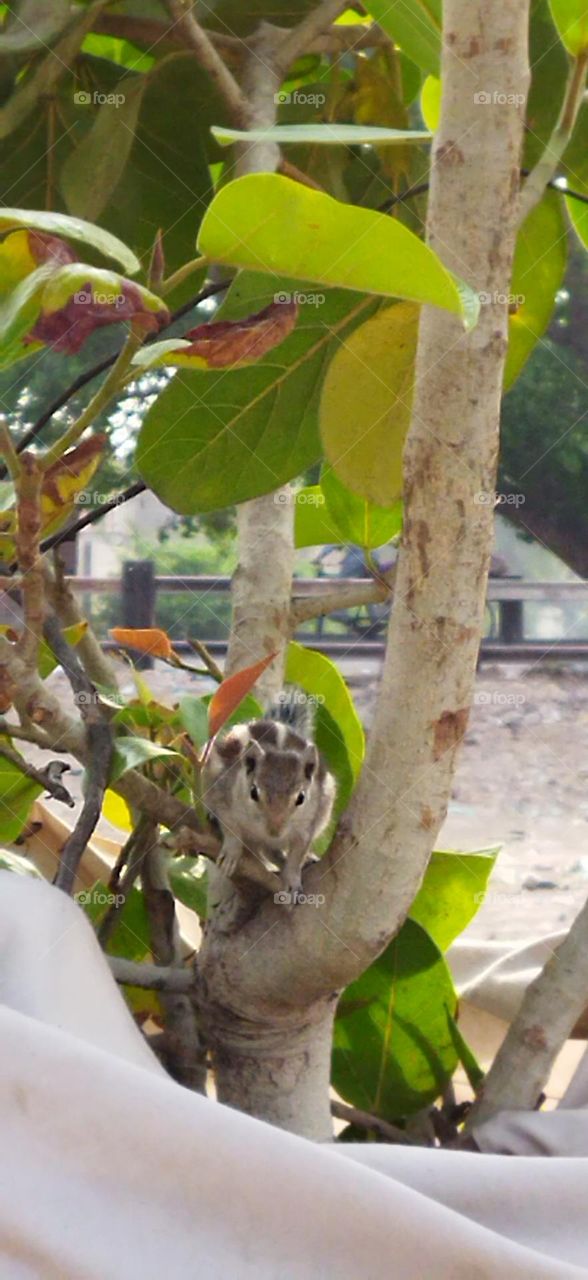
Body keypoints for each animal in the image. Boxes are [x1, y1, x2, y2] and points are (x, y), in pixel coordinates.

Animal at [202, 688, 336, 903]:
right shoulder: (224, 796)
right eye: (253, 792)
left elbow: (297, 855)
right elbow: (231, 829)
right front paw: (231, 852)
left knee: (272, 851)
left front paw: (292, 879)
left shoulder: (307, 827)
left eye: (301, 798)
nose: (275, 830)